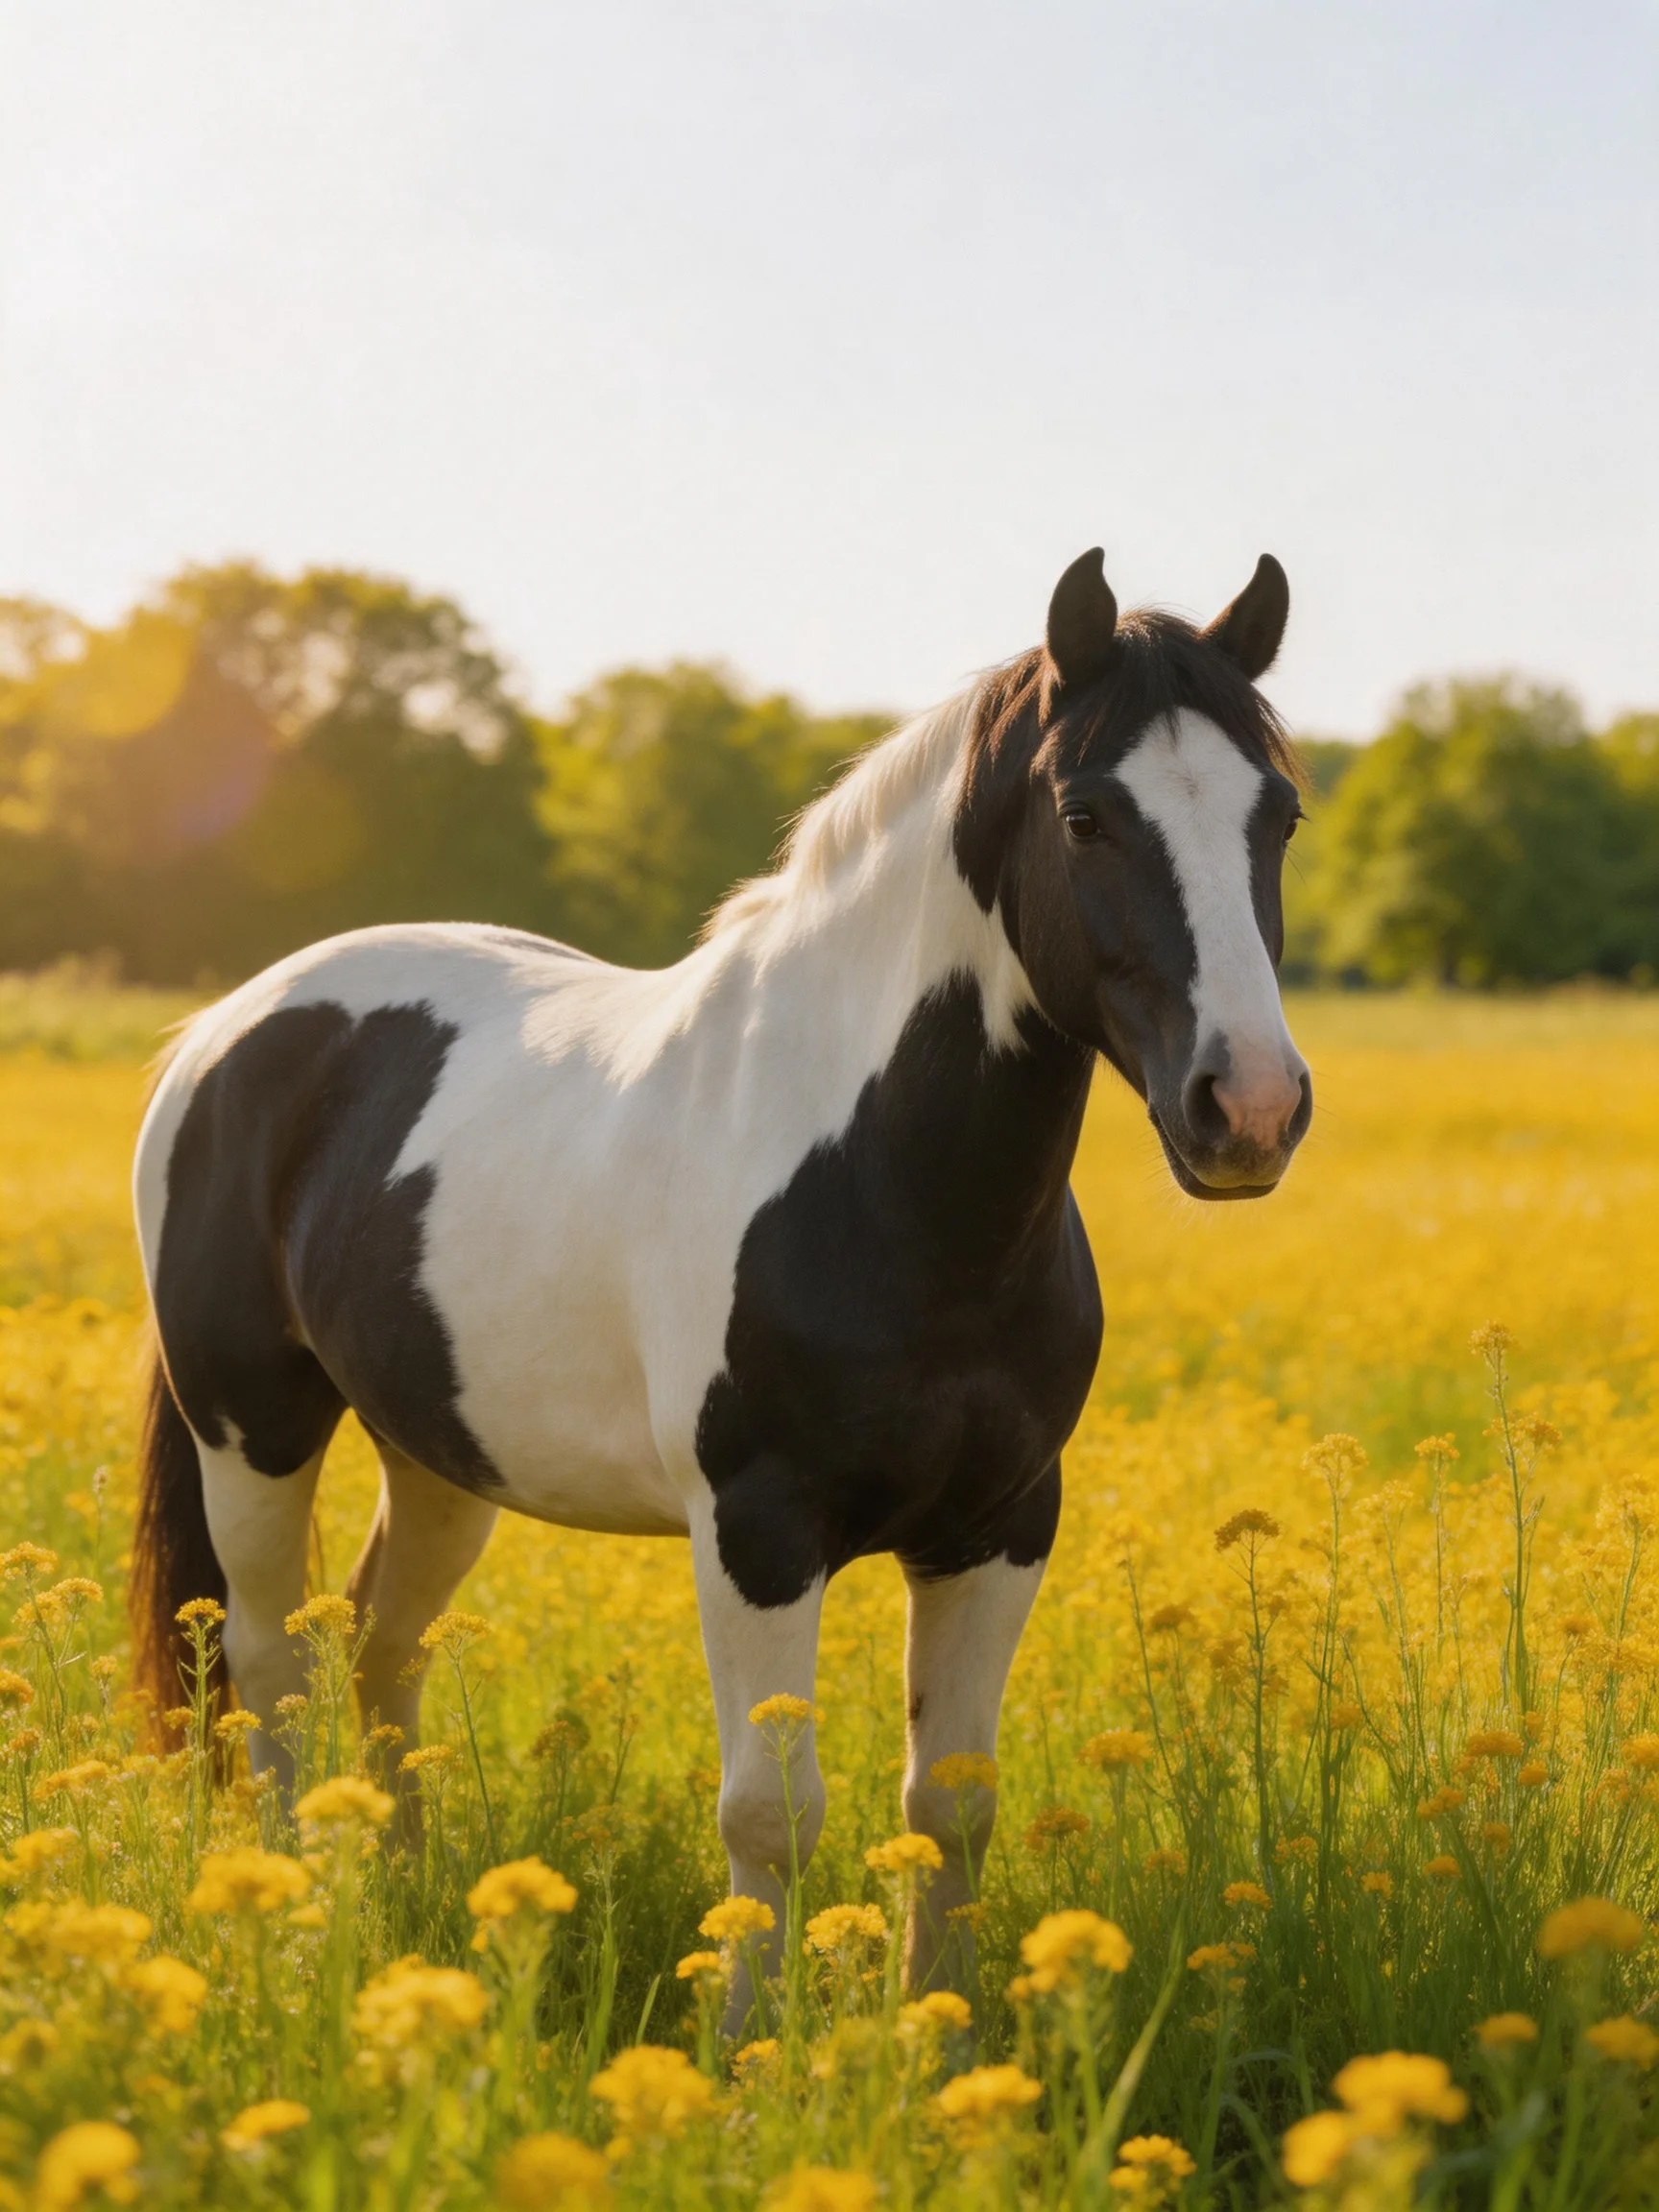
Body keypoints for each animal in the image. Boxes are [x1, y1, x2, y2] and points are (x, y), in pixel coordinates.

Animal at [130, 545, 1311, 1994]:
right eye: (1087, 817)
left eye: (1281, 818)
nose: (1248, 1108)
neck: (886, 1184)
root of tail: (225, 1028)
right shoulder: (757, 1530)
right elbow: (769, 1814)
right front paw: (751, 2042)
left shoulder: (1001, 1523)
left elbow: (952, 1807)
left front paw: (946, 2032)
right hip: (253, 1433)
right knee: (267, 1665)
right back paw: (303, 1932)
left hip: (439, 1452)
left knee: (377, 1643)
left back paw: (398, 1892)